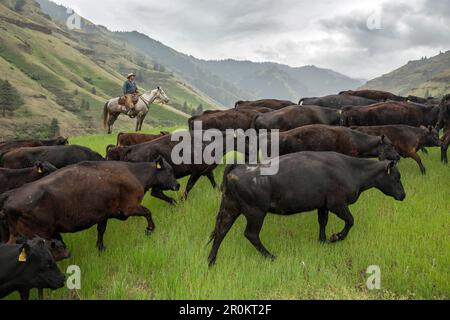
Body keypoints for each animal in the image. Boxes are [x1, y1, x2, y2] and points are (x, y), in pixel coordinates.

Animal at [0, 159, 179, 251]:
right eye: (170, 171)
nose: (177, 185)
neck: (136, 174)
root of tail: (10, 195)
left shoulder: (104, 213)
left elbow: (101, 230)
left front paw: (100, 247)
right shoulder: (128, 208)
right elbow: (148, 212)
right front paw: (150, 229)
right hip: (37, 234)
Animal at [209, 152, 406, 264]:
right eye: (396, 177)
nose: (403, 195)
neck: (353, 170)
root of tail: (239, 166)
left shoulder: (323, 204)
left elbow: (323, 221)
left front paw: (323, 240)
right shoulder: (337, 204)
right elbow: (350, 221)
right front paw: (336, 237)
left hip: (231, 208)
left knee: (220, 231)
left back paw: (211, 261)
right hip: (255, 212)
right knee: (251, 235)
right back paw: (270, 257)